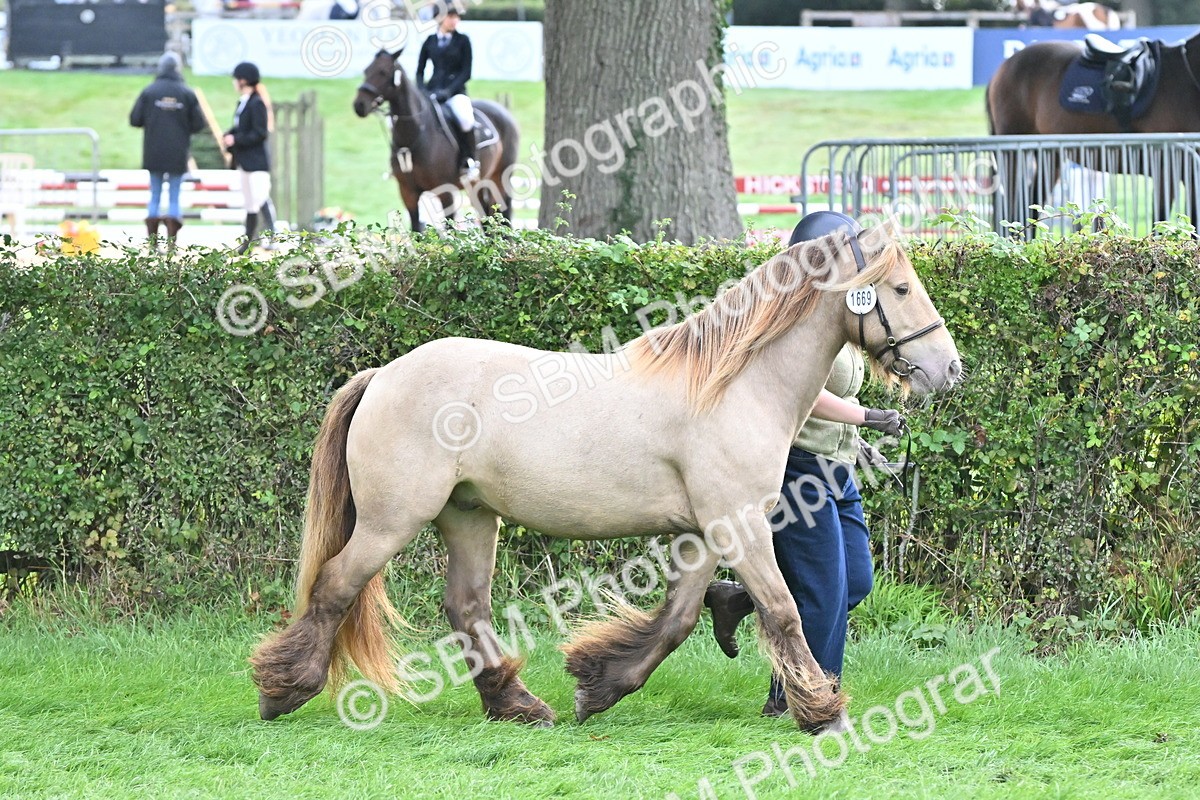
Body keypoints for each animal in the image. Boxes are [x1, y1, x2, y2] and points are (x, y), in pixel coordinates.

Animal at [249, 225, 962, 732]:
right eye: (900, 288)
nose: (948, 369)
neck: (731, 386)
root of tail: (383, 376)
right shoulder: (738, 524)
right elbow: (784, 612)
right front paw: (824, 712)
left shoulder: (703, 533)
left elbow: (677, 619)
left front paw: (599, 686)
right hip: (392, 520)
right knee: (336, 585)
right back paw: (285, 691)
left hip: (470, 516)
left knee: (467, 607)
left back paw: (518, 705)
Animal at [353, 49, 519, 233]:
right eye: (366, 70)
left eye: (383, 72)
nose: (359, 105)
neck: (415, 138)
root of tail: (503, 111)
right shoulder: (408, 192)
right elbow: (416, 229)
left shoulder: (445, 192)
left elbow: (451, 229)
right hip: (478, 183)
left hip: (500, 177)